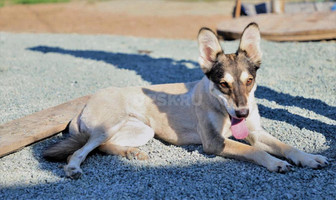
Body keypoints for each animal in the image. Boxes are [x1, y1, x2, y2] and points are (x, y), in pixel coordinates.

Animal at [44, 22, 328, 179]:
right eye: (223, 84)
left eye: (249, 81)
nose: (243, 113)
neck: (222, 110)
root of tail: (84, 104)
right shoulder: (215, 143)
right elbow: (255, 151)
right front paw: (275, 163)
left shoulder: (256, 132)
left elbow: (286, 146)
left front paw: (308, 158)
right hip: (108, 126)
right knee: (81, 151)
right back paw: (73, 169)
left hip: (142, 131)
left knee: (104, 147)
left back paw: (131, 153)